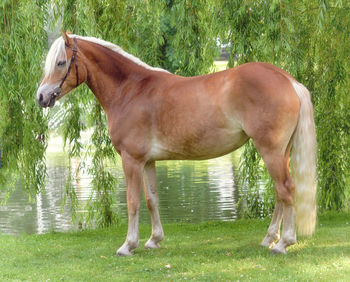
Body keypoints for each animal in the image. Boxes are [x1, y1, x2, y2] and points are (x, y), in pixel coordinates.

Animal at [36, 30, 318, 256]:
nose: (41, 97)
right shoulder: (147, 161)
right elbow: (151, 199)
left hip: (270, 151)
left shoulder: (131, 159)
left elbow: (132, 201)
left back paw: (284, 243)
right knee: (280, 193)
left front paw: (128, 245)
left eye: (61, 62)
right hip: (280, 153)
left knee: (286, 189)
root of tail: (288, 80)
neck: (131, 90)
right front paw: (154, 240)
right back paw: (269, 238)